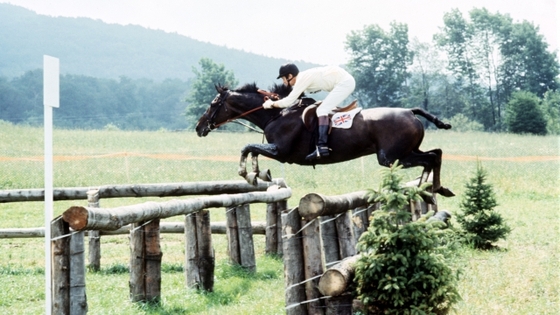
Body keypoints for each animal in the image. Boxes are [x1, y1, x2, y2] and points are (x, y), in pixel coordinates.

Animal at [194, 83, 456, 198]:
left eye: (213, 104)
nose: (198, 127)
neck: (277, 114)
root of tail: (410, 111)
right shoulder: (277, 151)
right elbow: (253, 150)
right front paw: (259, 174)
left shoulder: (281, 151)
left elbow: (248, 147)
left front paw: (249, 175)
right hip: (406, 151)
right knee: (436, 153)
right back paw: (436, 187)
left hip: (391, 157)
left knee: (430, 158)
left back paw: (427, 187)